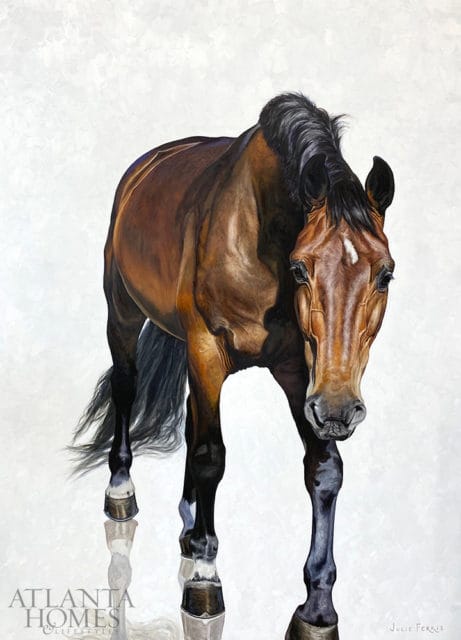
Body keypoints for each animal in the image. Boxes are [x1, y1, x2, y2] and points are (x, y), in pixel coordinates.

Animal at [71, 92, 395, 640]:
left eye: (385, 274)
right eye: (301, 268)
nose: (338, 410)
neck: (262, 240)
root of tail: (146, 165)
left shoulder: (299, 371)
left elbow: (323, 469)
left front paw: (317, 606)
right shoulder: (207, 350)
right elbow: (210, 456)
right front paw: (204, 581)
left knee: (189, 414)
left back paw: (189, 525)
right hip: (123, 311)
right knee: (127, 386)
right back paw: (122, 493)